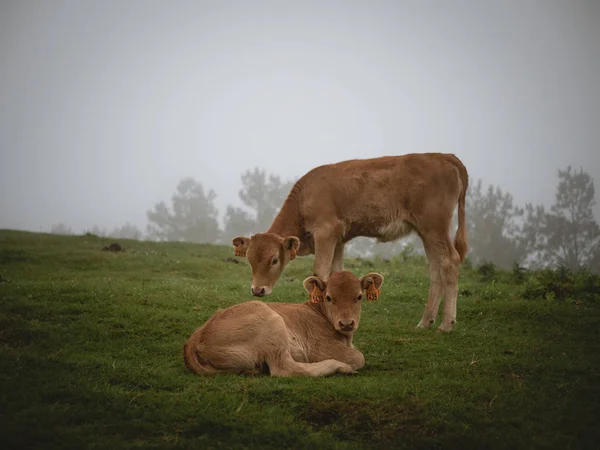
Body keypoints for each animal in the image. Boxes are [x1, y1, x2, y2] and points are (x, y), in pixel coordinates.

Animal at [182, 270, 384, 376]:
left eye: (359, 297)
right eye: (329, 298)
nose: (346, 323)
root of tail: (197, 338)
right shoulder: (320, 347)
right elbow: (358, 357)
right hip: (273, 324)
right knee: (285, 369)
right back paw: (340, 367)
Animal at [233, 153, 468, 332]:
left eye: (274, 260)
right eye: (250, 260)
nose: (257, 291)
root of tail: (443, 156)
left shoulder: (326, 233)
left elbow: (319, 272)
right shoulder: (338, 240)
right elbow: (336, 274)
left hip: (434, 227)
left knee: (450, 261)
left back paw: (446, 324)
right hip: (426, 233)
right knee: (436, 269)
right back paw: (425, 322)